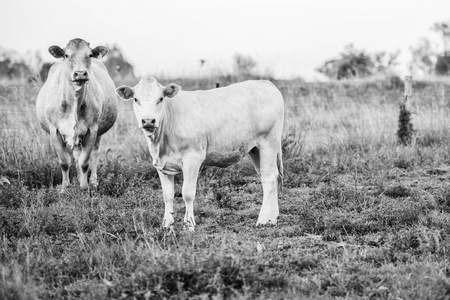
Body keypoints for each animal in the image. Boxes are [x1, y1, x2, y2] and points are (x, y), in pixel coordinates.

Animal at [36, 38, 118, 191]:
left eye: (90, 55)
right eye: (66, 55)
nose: (80, 73)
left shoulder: (92, 130)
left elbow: (85, 162)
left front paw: (84, 187)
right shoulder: (54, 131)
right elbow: (64, 162)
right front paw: (64, 188)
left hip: (97, 133)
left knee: (93, 154)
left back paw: (92, 181)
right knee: (76, 155)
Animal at [117, 76, 284, 231]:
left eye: (161, 98)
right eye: (136, 99)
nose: (148, 121)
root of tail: (264, 82)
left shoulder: (193, 158)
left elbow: (187, 193)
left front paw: (189, 225)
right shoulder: (160, 164)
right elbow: (167, 195)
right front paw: (167, 225)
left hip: (268, 142)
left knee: (268, 179)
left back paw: (263, 220)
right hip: (255, 150)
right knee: (271, 176)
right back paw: (273, 218)